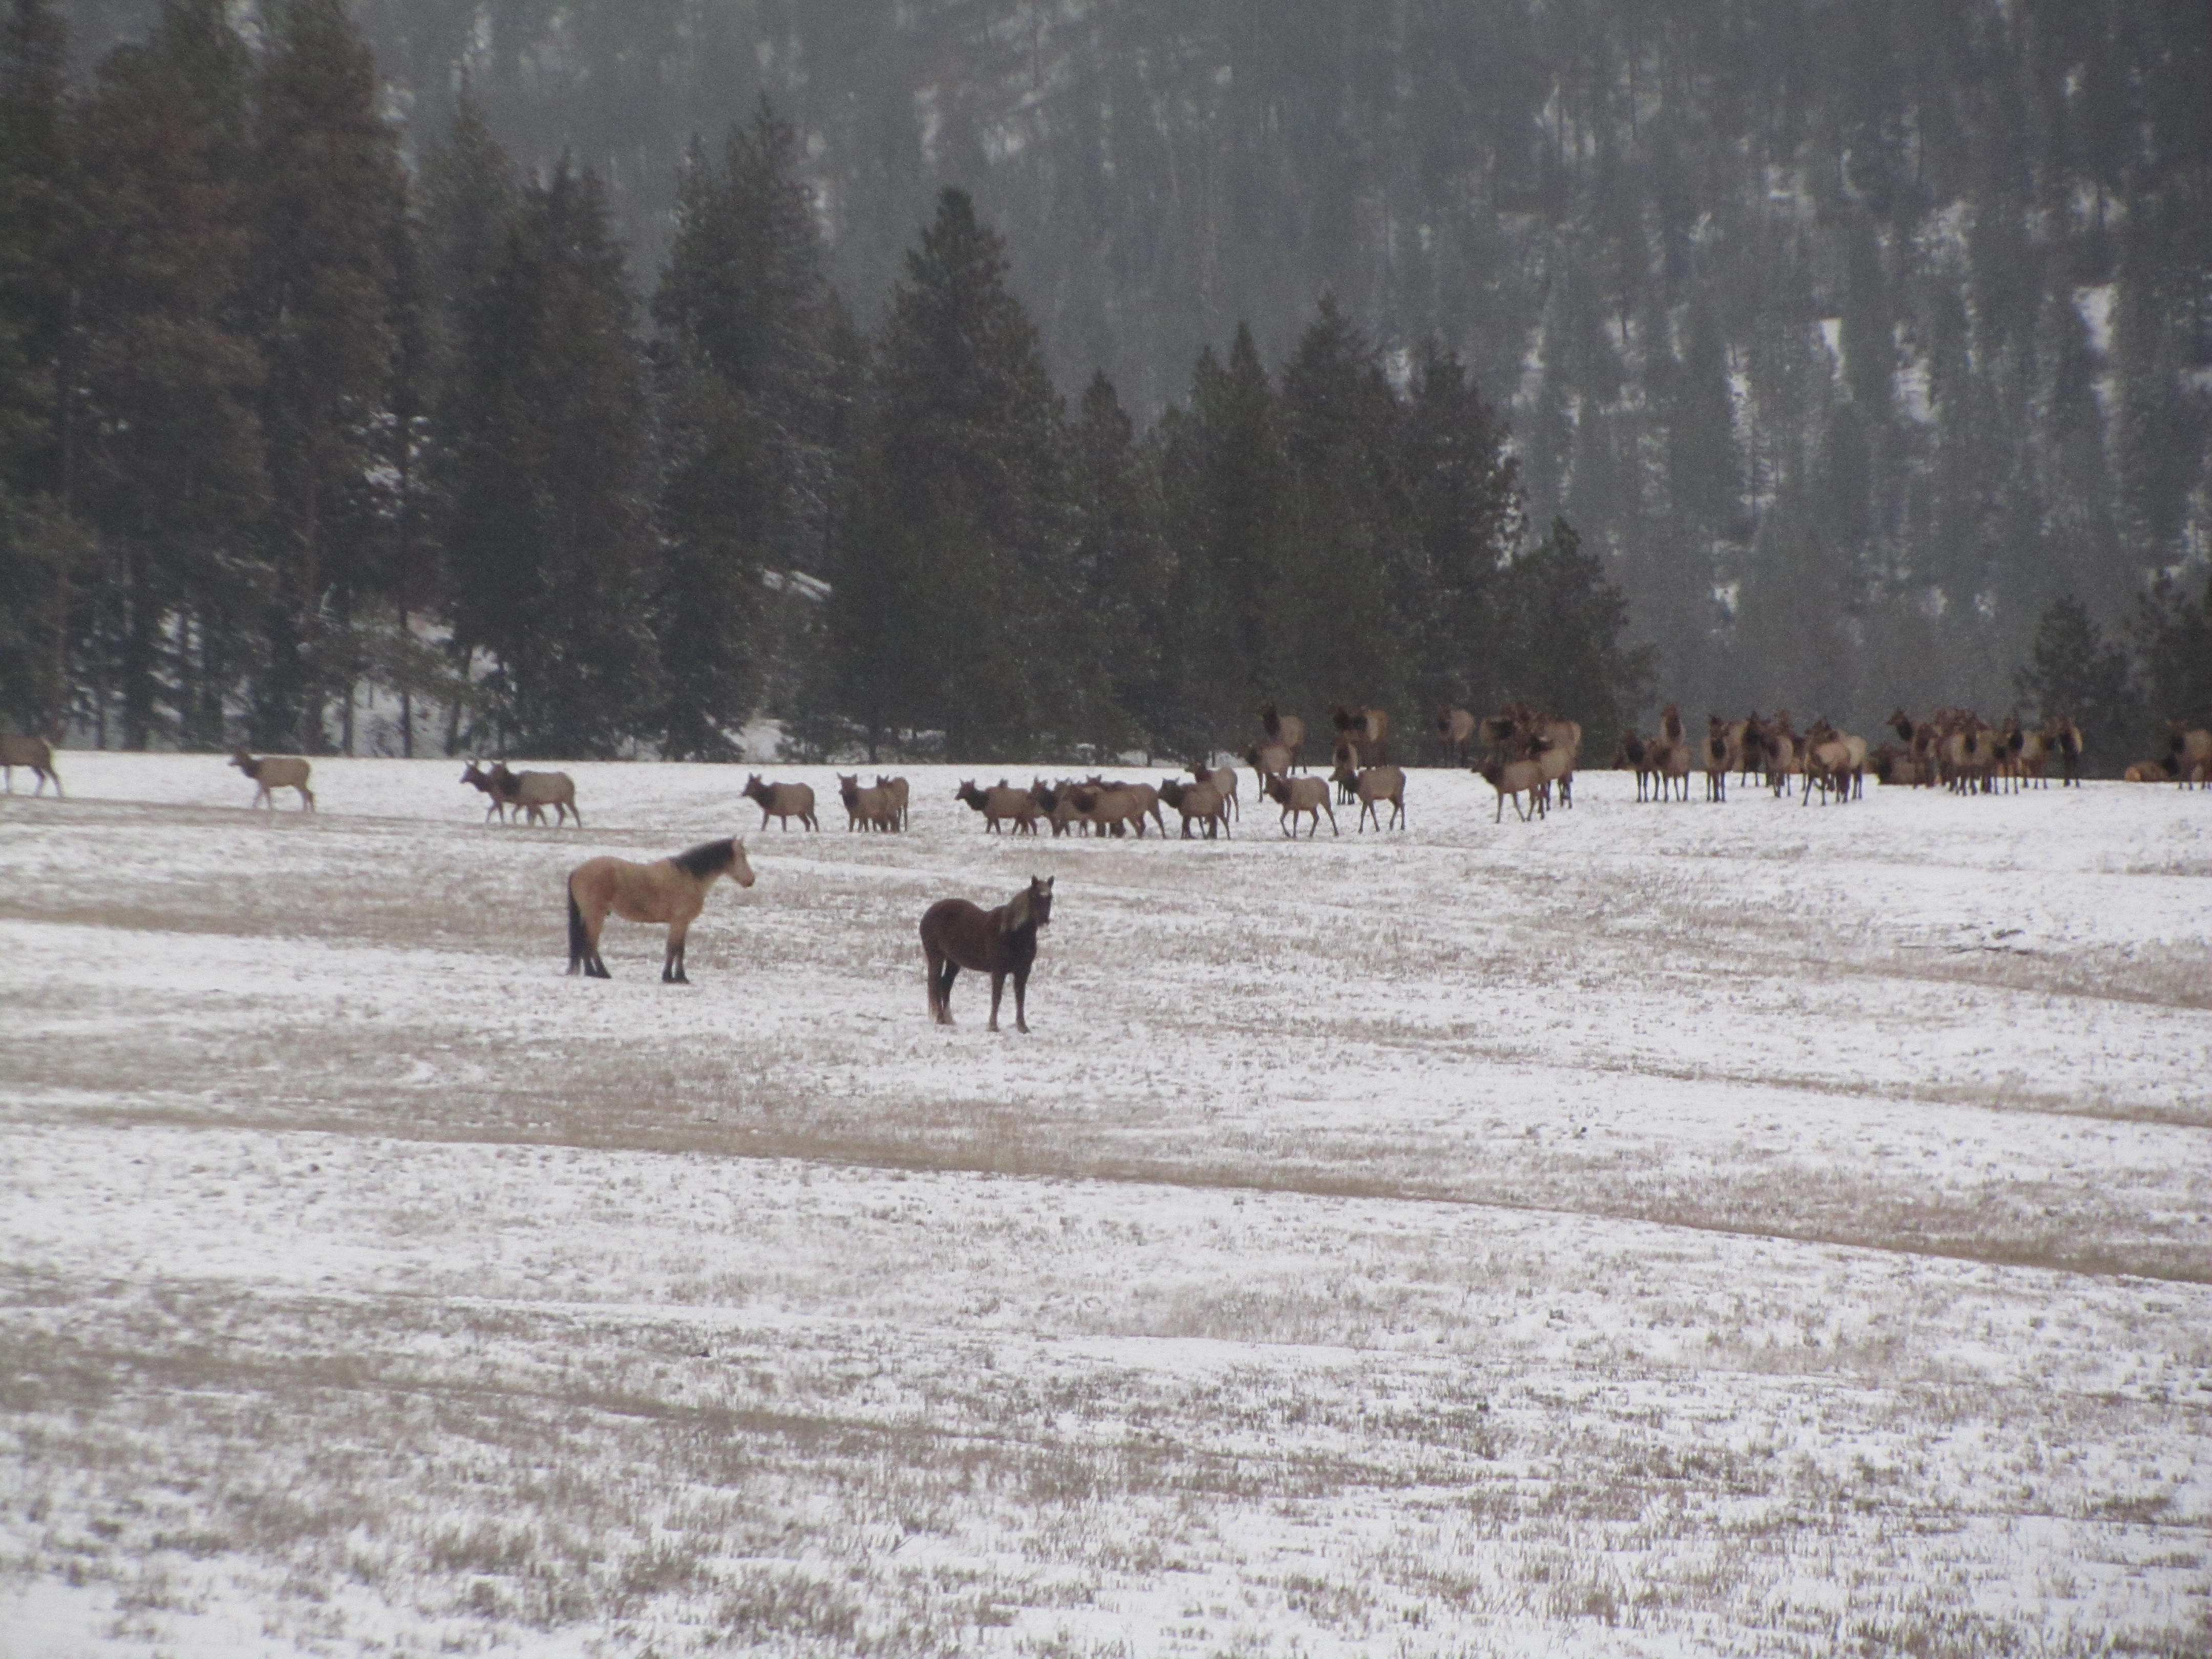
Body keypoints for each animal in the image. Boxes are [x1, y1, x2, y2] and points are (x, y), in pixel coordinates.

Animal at [230, 750, 314, 811]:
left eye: (237, 757)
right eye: (235, 756)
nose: (230, 763)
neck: (256, 771)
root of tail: (309, 767)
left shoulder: (265, 782)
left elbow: (264, 796)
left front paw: (267, 808)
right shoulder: (263, 783)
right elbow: (262, 795)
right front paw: (257, 807)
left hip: (299, 781)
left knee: (306, 794)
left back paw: (305, 810)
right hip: (298, 782)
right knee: (309, 793)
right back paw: (312, 810)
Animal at [566, 837, 755, 982]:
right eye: (743, 855)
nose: (751, 880)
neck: (689, 877)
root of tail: (577, 871)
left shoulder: (682, 924)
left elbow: (678, 949)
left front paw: (678, 977)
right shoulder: (679, 922)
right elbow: (674, 949)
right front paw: (672, 977)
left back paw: (594, 972)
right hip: (596, 916)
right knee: (590, 942)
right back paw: (599, 973)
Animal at [743, 774, 818, 831]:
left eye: (753, 786)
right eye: (747, 785)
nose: (743, 794)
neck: (768, 801)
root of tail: (812, 791)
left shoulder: (783, 811)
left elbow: (784, 826)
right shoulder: (767, 811)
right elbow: (764, 824)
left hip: (809, 808)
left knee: (815, 820)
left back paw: (817, 831)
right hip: (800, 812)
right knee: (807, 823)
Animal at [920, 876, 1054, 1033]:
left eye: (1051, 897)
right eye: (1035, 896)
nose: (1044, 919)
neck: (1013, 934)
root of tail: (929, 912)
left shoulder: (1024, 971)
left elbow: (1020, 998)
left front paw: (1022, 1027)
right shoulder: (999, 971)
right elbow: (997, 997)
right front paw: (993, 1026)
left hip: (954, 961)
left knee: (946, 984)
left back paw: (949, 1019)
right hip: (936, 957)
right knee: (936, 984)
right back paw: (941, 1018)